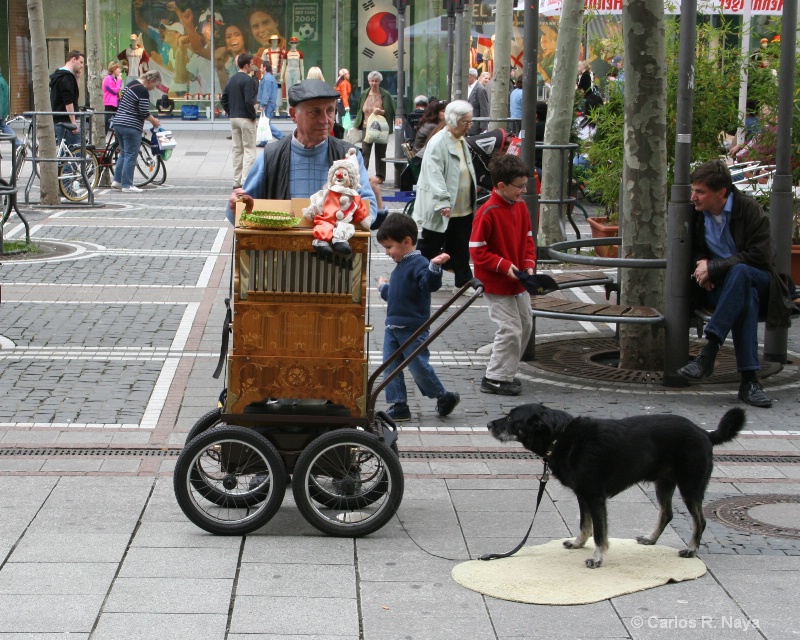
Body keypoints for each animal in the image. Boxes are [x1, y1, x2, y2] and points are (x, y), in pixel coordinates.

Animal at [488, 402, 752, 568]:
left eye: (511, 418)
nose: (489, 424)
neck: (560, 436)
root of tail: (705, 433)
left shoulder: (595, 497)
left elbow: (599, 533)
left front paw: (597, 558)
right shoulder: (583, 495)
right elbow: (585, 525)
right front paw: (578, 543)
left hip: (690, 486)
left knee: (700, 521)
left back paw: (692, 550)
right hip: (664, 483)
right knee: (666, 513)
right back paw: (651, 539)